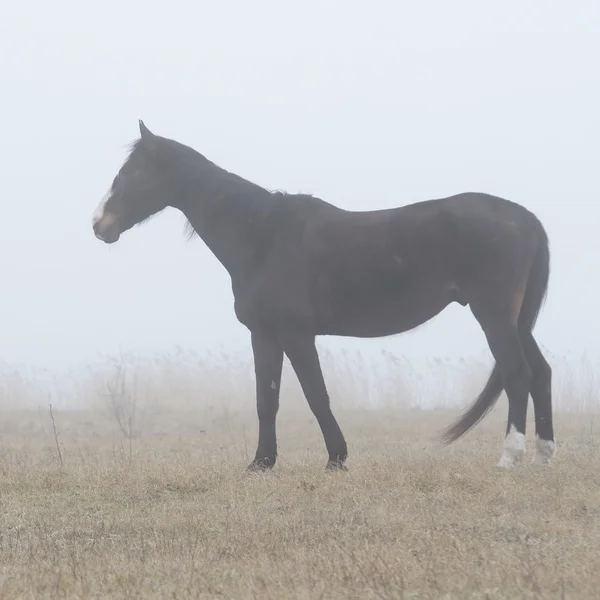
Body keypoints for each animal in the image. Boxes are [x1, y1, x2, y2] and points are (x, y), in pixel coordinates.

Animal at [91, 119, 556, 472]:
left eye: (131, 173)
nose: (99, 224)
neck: (262, 236)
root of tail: (524, 217)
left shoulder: (296, 335)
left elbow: (316, 395)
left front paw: (336, 459)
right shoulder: (264, 335)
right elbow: (266, 399)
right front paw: (261, 463)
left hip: (494, 315)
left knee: (517, 374)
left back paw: (510, 458)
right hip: (518, 320)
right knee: (541, 373)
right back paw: (544, 456)